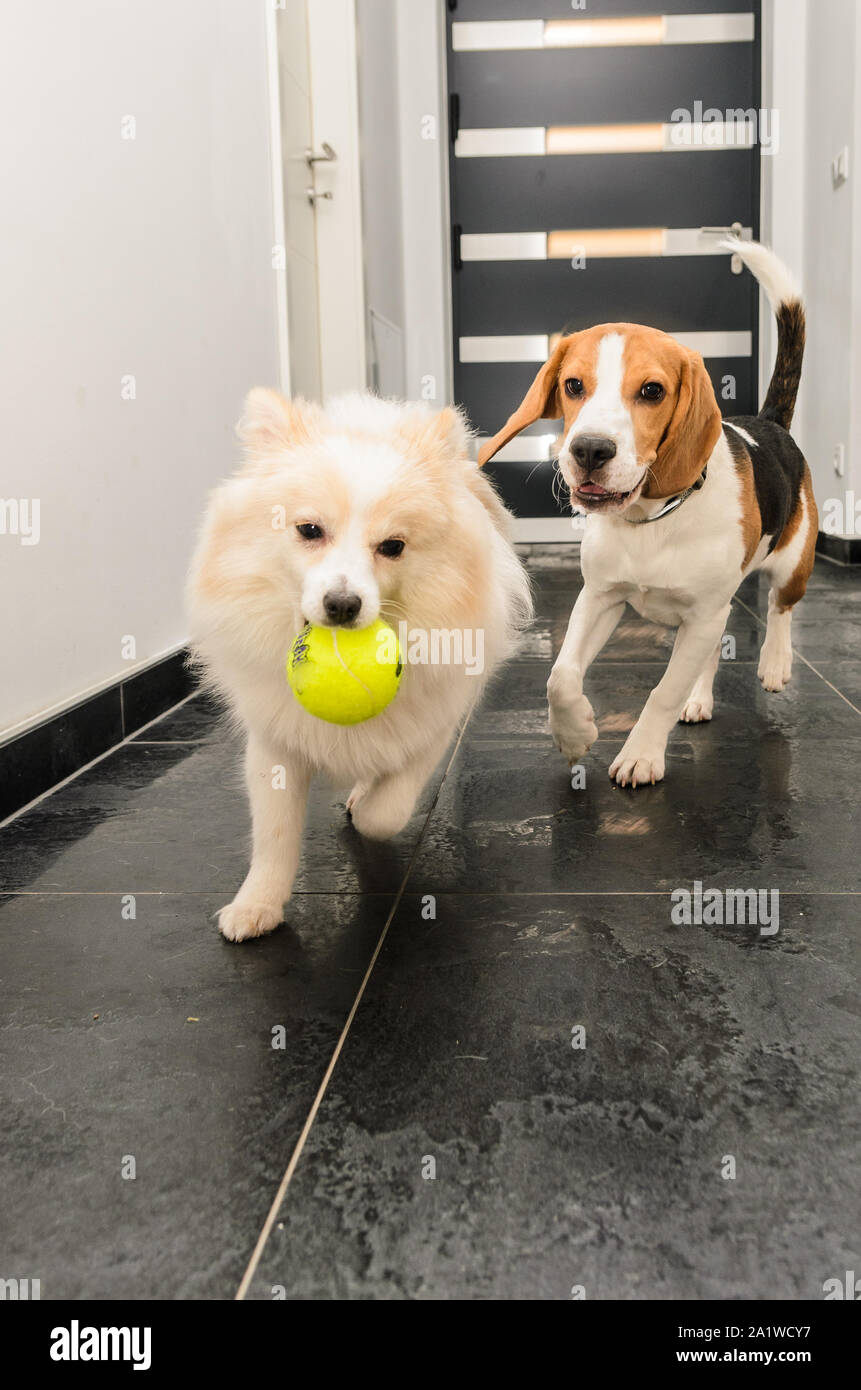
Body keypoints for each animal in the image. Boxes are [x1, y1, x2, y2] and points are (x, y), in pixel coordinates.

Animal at [481, 236, 817, 783]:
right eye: (573, 386)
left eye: (652, 391)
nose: (590, 450)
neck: (650, 521)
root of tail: (770, 423)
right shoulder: (600, 598)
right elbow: (560, 676)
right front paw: (574, 733)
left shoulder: (702, 615)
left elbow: (661, 693)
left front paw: (640, 754)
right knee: (710, 655)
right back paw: (699, 699)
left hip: (792, 560)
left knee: (780, 605)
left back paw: (775, 662)